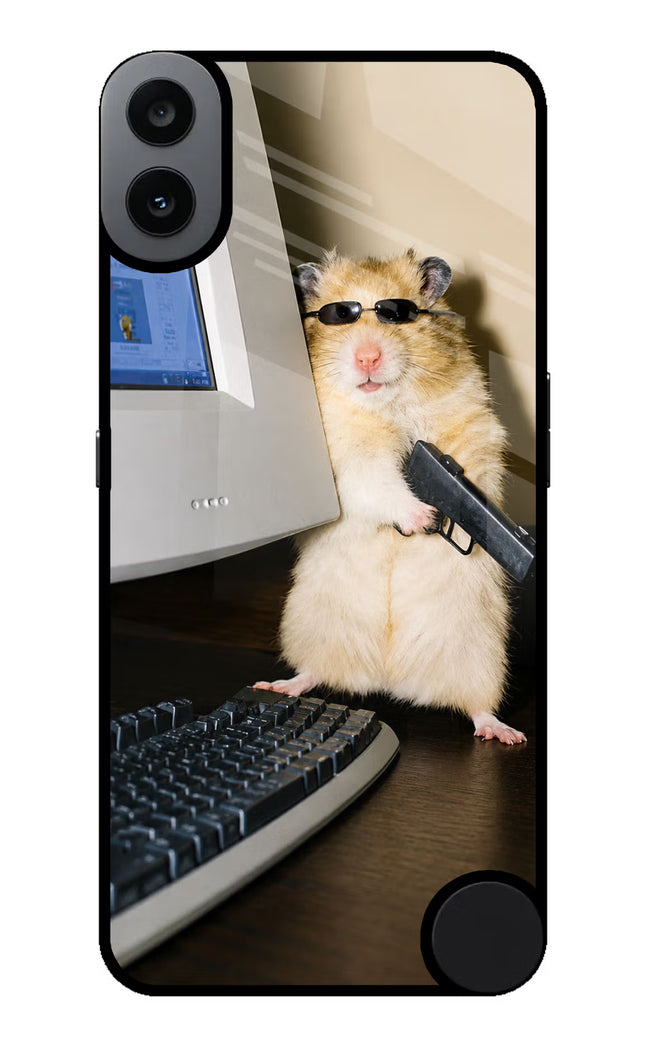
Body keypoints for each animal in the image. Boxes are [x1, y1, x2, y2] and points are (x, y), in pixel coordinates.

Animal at [255, 249, 526, 744]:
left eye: (397, 314)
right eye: (339, 315)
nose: (367, 357)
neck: (386, 404)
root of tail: (388, 679)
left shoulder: (472, 429)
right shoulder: (347, 458)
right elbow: (378, 483)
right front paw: (423, 518)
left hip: (479, 655)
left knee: (477, 706)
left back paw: (504, 733)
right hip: (311, 626)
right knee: (313, 672)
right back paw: (279, 685)